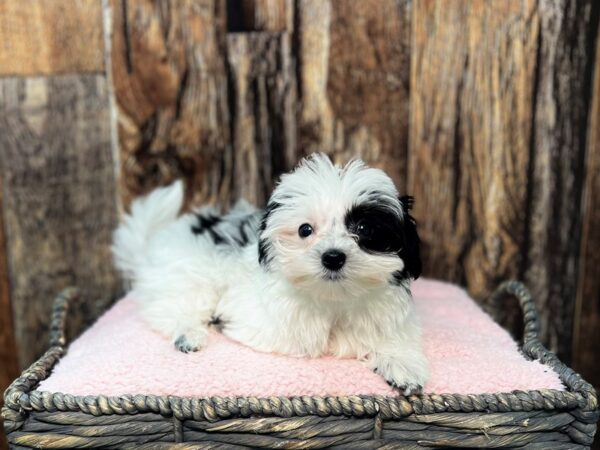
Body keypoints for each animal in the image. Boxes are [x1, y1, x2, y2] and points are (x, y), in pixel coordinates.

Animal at [112, 153, 428, 392]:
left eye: (364, 229)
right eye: (305, 230)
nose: (333, 257)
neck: (332, 297)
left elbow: (390, 337)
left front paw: (402, 364)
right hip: (190, 274)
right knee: (167, 307)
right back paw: (187, 333)